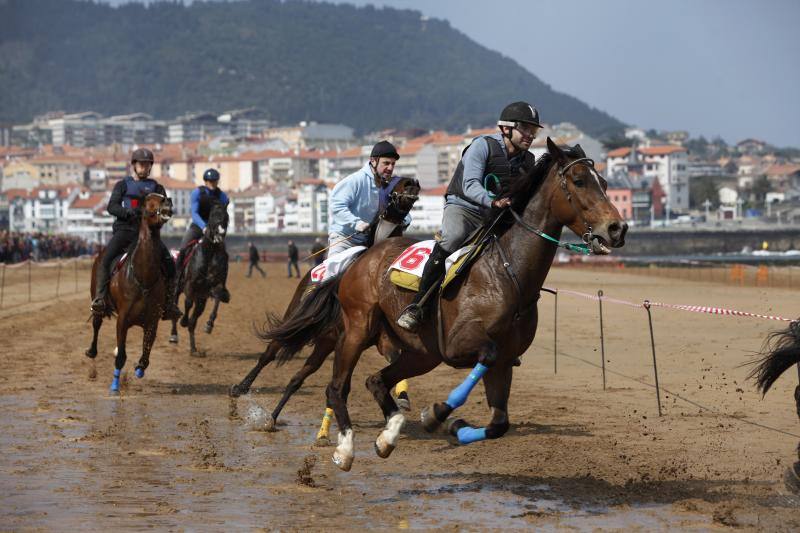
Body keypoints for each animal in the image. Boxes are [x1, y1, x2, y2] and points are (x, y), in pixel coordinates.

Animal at [84, 193, 172, 392]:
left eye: (161, 194)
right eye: (149, 201)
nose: (168, 202)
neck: (143, 277)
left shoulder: (152, 322)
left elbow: (145, 355)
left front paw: (139, 369)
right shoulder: (123, 320)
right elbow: (121, 356)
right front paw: (115, 384)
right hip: (97, 301)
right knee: (96, 325)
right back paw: (91, 351)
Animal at [169, 200, 230, 354]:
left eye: (226, 217)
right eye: (213, 215)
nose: (220, 234)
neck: (210, 253)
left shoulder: (215, 286)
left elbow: (218, 298)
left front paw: (209, 325)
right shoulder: (190, 285)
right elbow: (188, 303)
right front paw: (183, 321)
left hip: (201, 300)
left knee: (193, 322)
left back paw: (194, 349)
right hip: (176, 291)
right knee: (175, 311)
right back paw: (174, 335)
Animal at [230, 177, 422, 438]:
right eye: (393, 186)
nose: (412, 182)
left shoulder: (378, 339)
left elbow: (392, 360)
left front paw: (401, 398)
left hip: (325, 342)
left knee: (297, 378)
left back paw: (273, 418)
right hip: (298, 322)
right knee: (269, 353)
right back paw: (241, 389)